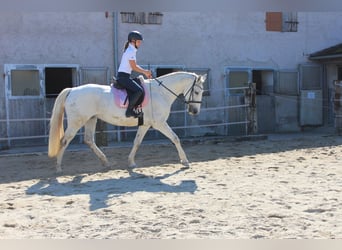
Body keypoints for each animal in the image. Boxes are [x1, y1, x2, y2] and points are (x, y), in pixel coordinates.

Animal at [47, 71, 206, 173]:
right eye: (197, 92)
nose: (195, 111)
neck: (161, 93)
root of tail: (72, 90)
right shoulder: (159, 123)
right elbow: (175, 138)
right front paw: (185, 161)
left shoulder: (145, 124)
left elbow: (137, 142)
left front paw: (131, 163)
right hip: (77, 122)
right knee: (64, 141)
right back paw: (59, 168)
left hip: (91, 119)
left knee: (89, 140)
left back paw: (106, 163)